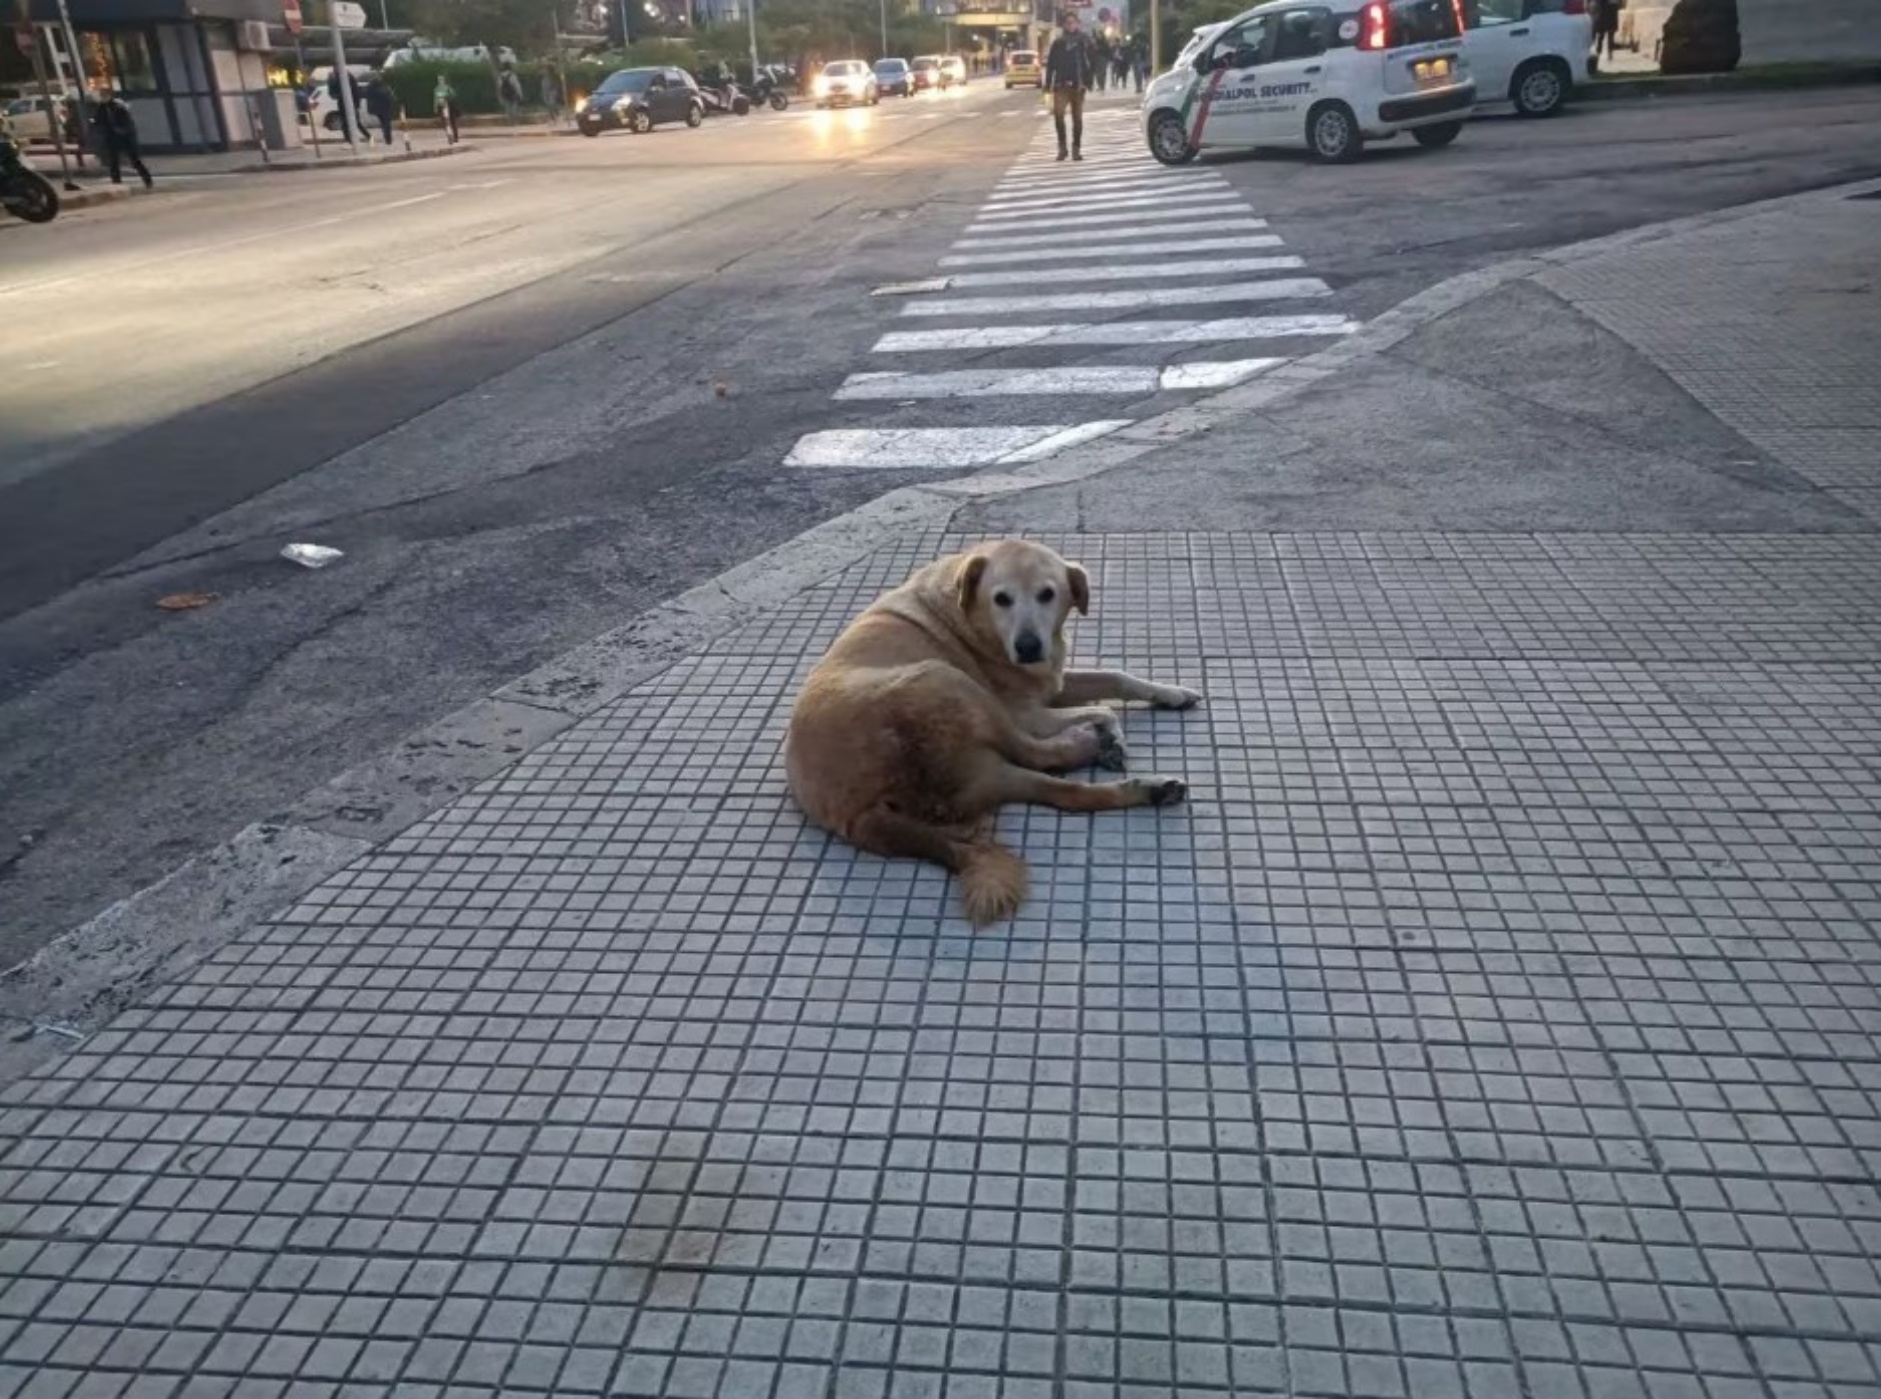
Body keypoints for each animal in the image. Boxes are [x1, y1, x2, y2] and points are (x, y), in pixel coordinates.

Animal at [782, 541, 1196, 925]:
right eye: (1002, 598)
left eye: (1047, 594)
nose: (1028, 647)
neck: (973, 620)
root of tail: (860, 813)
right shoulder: (1027, 711)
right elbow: (1105, 707)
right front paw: (1113, 736)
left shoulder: (1052, 681)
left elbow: (1117, 676)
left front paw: (1172, 693)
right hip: (949, 679)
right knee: (1037, 754)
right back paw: (1089, 743)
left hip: (986, 772)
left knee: (1070, 795)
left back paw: (1151, 788)